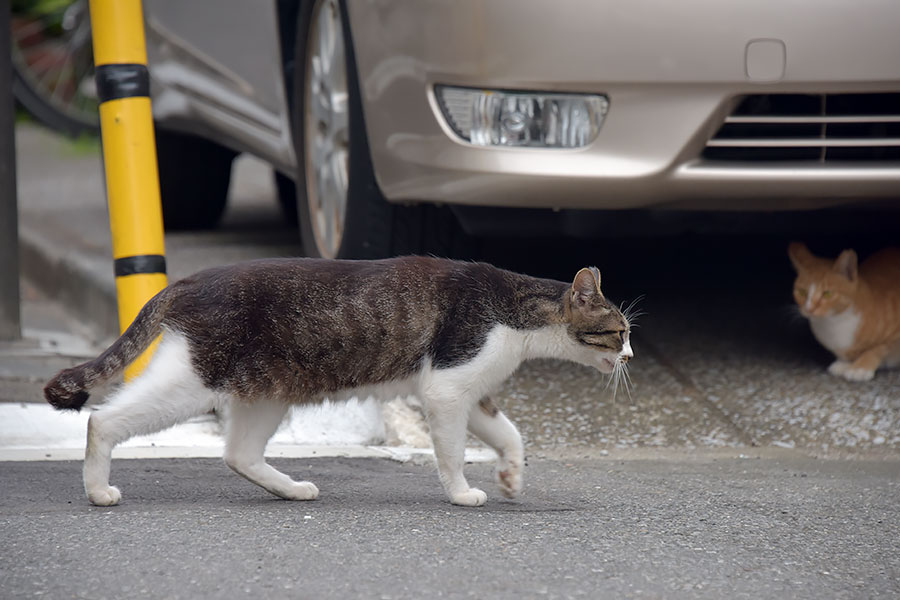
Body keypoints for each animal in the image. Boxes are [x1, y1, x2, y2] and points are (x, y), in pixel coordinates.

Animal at [788, 243, 900, 380]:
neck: (835, 322)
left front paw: (861, 367)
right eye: (802, 292)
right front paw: (844, 363)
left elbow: (879, 348)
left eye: (827, 293)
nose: (809, 309)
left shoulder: (895, 336)